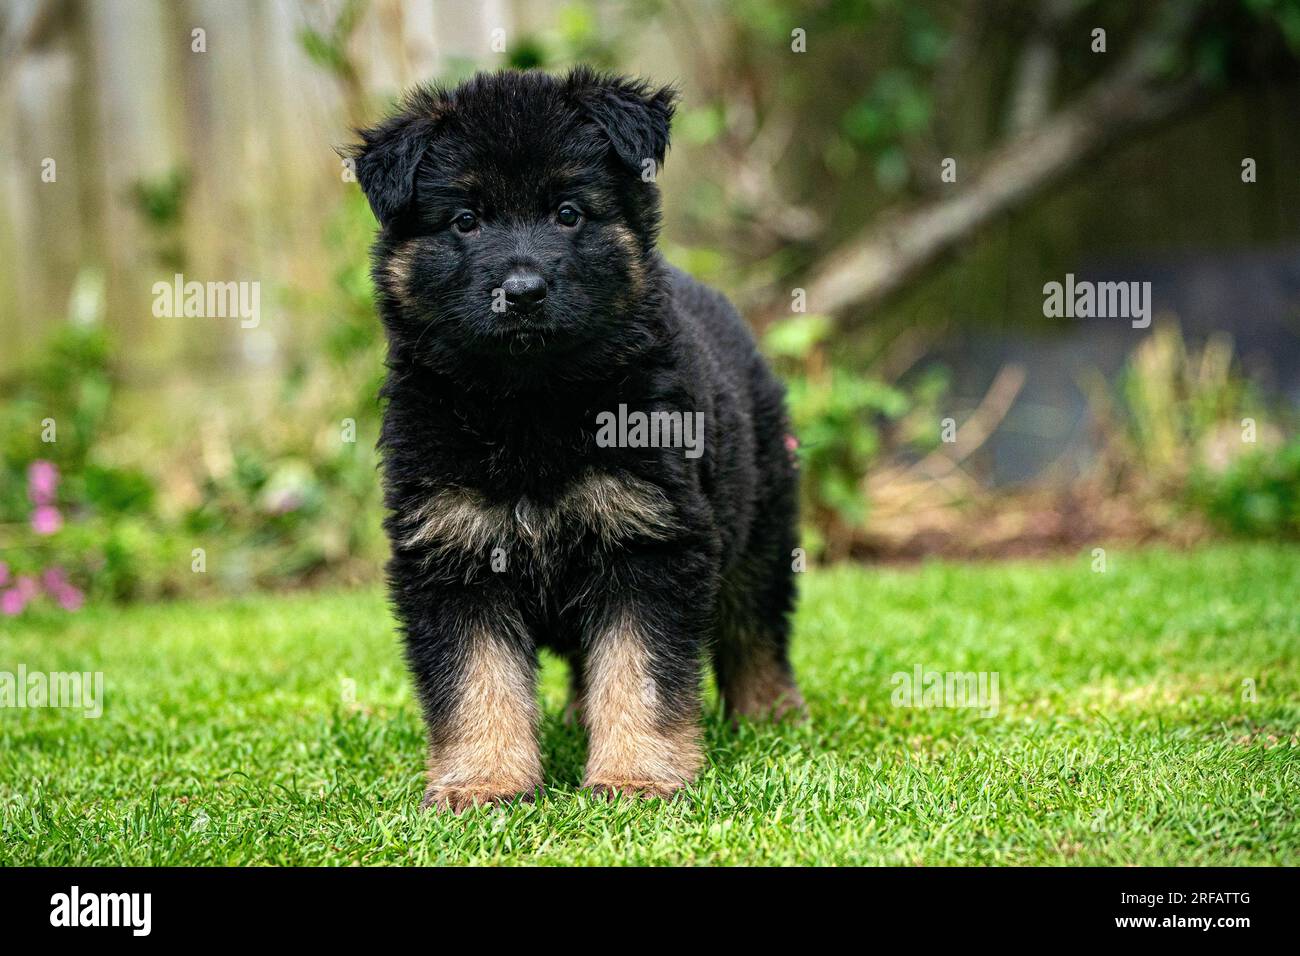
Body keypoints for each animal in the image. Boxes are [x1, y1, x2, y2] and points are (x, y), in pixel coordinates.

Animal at [351, 70, 806, 811]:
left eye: (568, 212)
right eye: (465, 221)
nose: (523, 291)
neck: (531, 402)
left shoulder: (650, 539)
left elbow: (639, 671)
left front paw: (635, 774)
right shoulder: (451, 552)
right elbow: (476, 680)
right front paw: (484, 781)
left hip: (761, 526)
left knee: (755, 625)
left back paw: (771, 713)